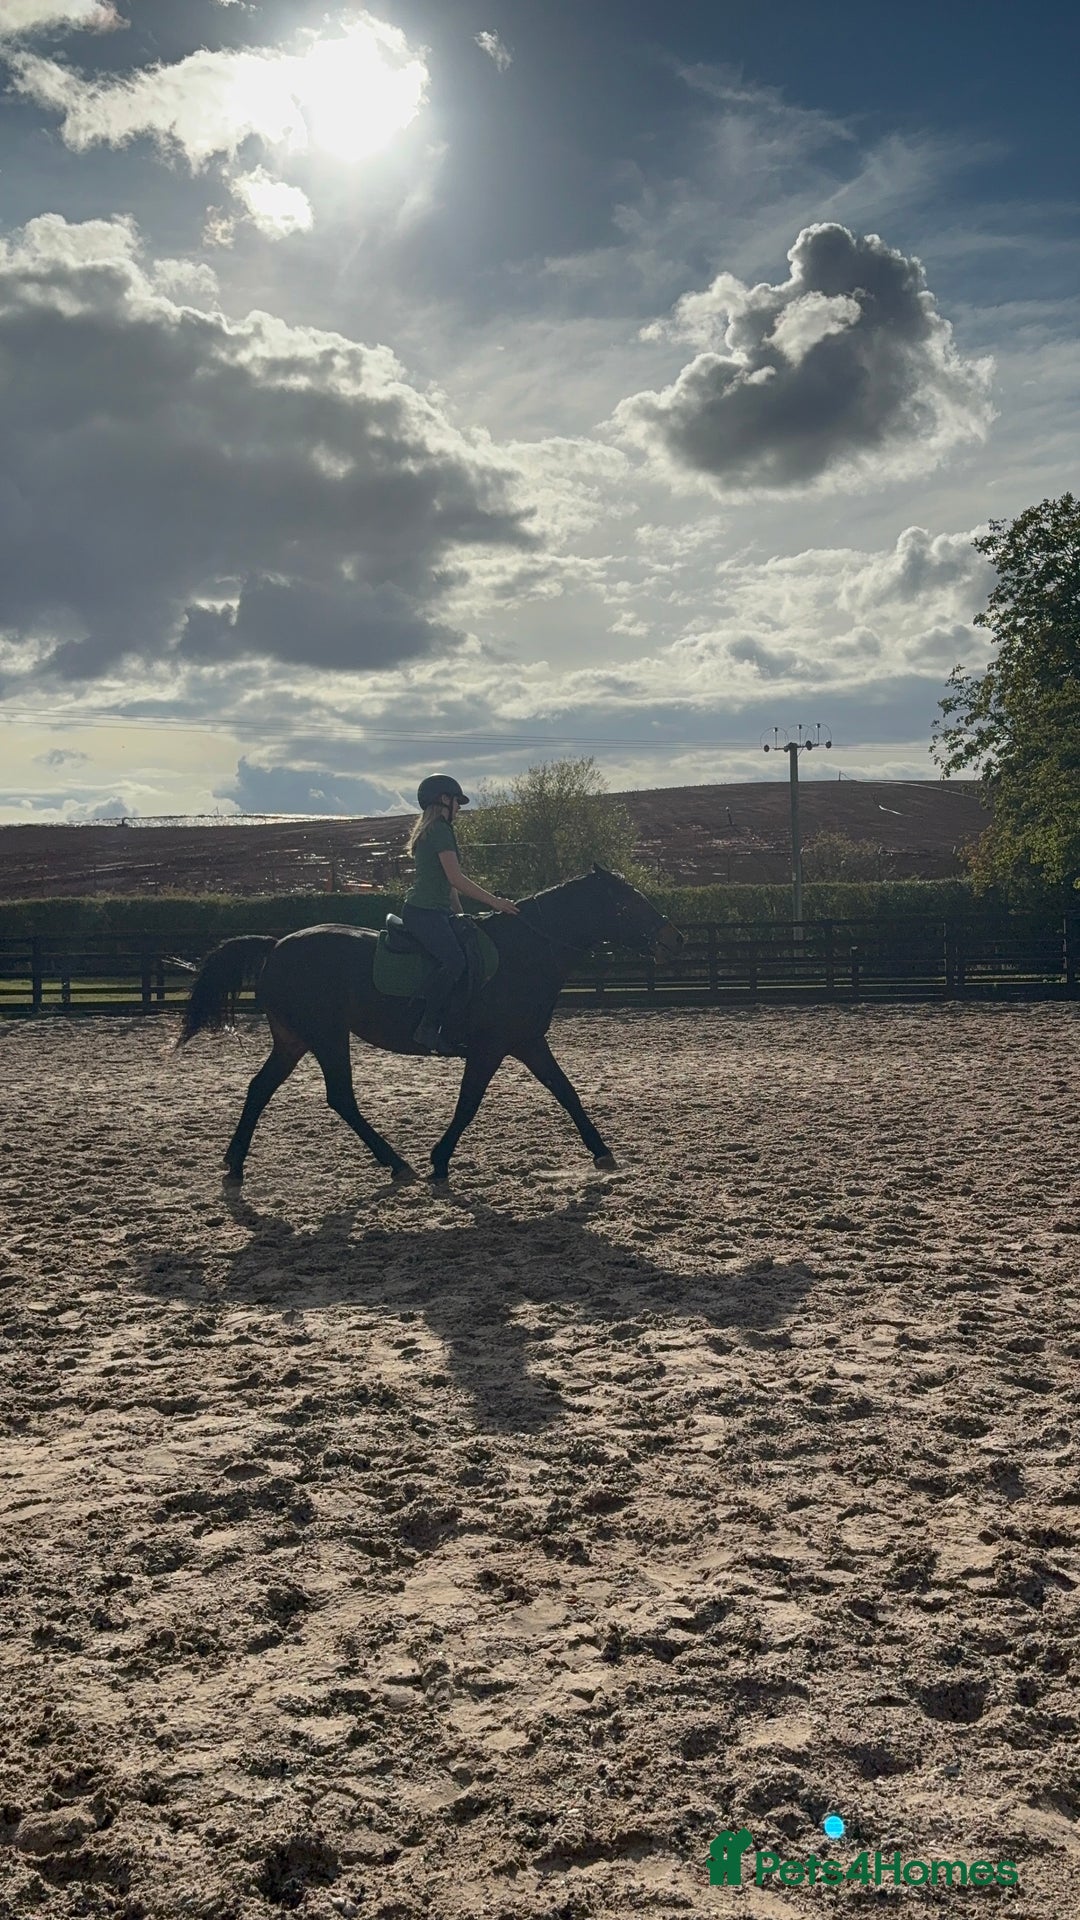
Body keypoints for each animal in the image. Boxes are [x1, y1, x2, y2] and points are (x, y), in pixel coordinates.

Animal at [176, 864, 684, 1185]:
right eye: (629, 903)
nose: (673, 939)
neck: (526, 951)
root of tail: (278, 943)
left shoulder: (527, 1041)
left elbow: (567, 1092)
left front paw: (602, 1152)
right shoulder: (491, 1047)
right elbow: (468, 1104)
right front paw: (440, 1161)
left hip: (294, 1039)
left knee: (260, 1089)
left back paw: (235, 1164)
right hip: (325, 1035)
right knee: (339, 1097)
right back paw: (396, 1163)